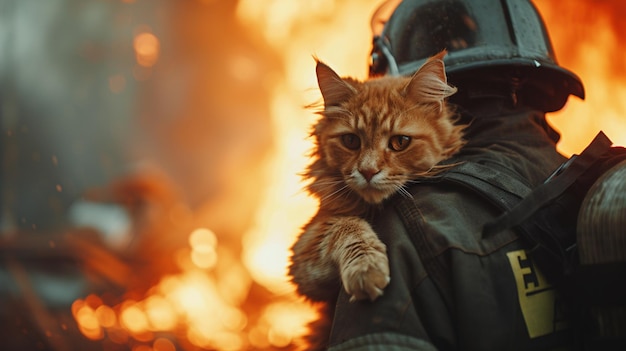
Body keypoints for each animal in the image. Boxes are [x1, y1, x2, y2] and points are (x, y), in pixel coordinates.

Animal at [288, 51, 464, 306]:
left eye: (400, 142)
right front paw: (366, 267)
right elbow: (347, 225)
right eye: (351, 141)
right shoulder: (304, 253)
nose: (368, 171)